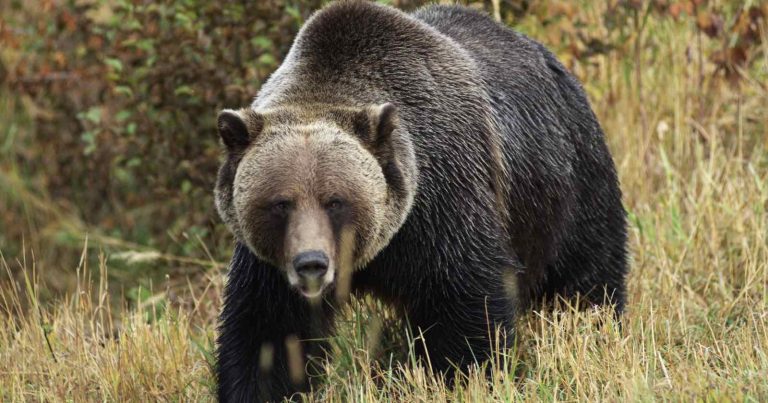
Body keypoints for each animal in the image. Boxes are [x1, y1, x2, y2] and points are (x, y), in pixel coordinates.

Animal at [213, 1, 628, 402]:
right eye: (280, 203)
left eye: (336, 201)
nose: (311, 263)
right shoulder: (269, 265)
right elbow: (266, 332)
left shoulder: (443, 206)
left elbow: (467, 305)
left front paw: (466, 376)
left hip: (567, 185)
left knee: (587, 278)